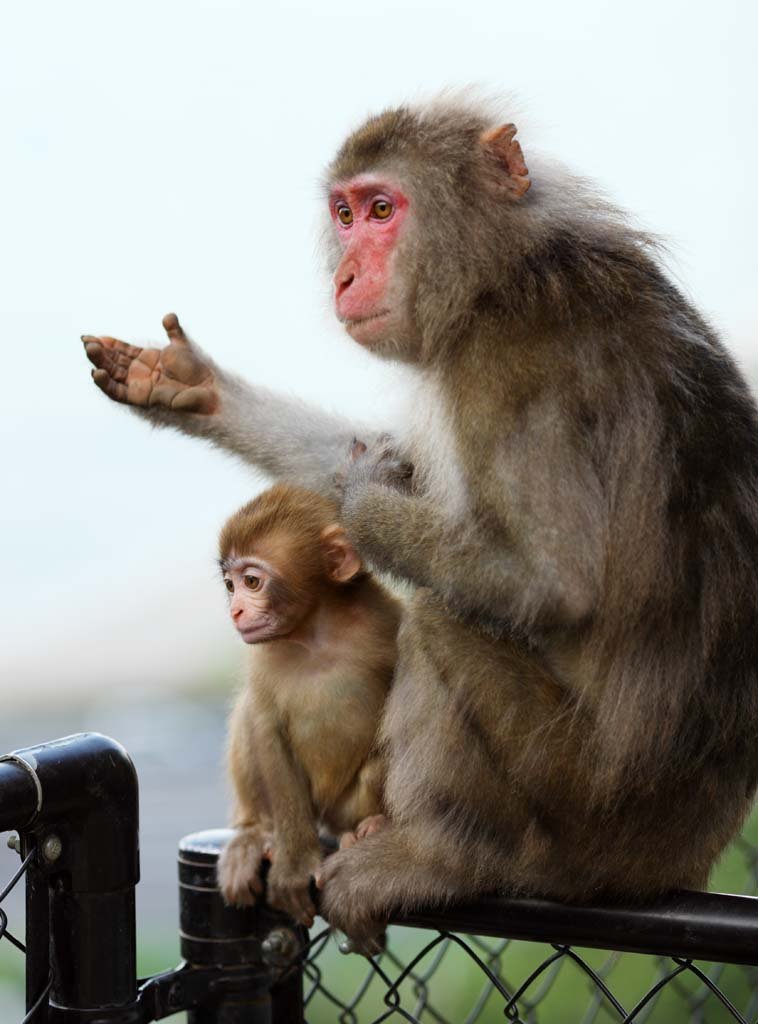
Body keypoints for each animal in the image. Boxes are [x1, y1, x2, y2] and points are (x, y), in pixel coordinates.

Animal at [215, 483, 400, 925]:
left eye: (251, 581)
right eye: (230, 585)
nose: (236, 611)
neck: (316, 631)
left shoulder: (388, 620)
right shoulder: (263, 658)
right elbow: (264, 725)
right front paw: (296, 863)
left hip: (343, 805)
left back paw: (371, 826)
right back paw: (256, 831)